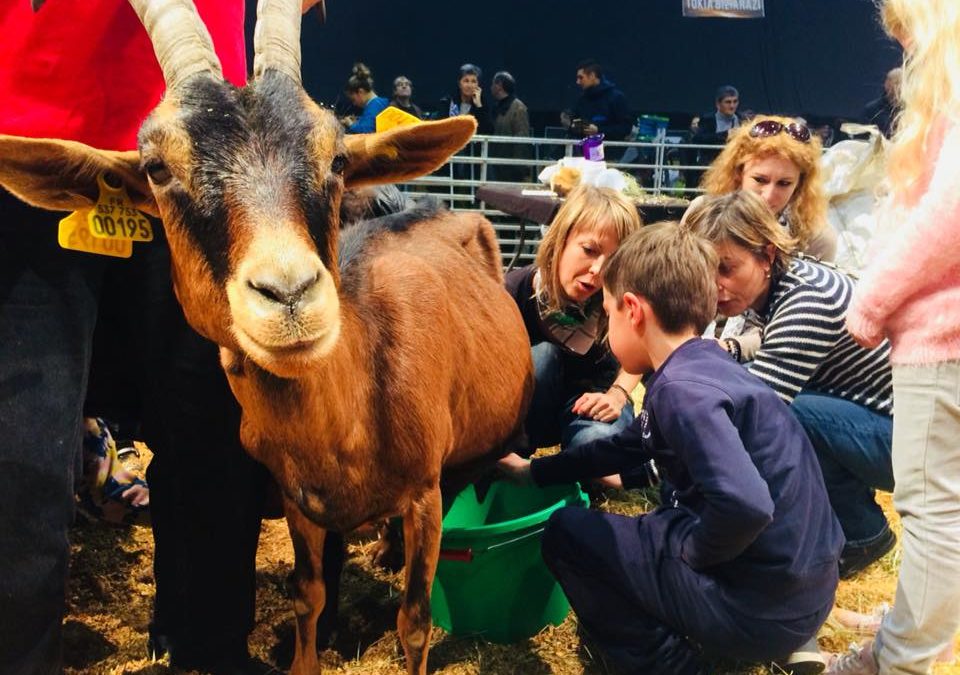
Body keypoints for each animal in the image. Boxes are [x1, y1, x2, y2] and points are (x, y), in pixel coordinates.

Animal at [0, 2, 532, 672]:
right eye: (156, 169)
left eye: (336, 159)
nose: (289, 294)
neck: (355, 412)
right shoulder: (299, 499)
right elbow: (307, 593)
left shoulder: (424, 496)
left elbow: (415, 621)